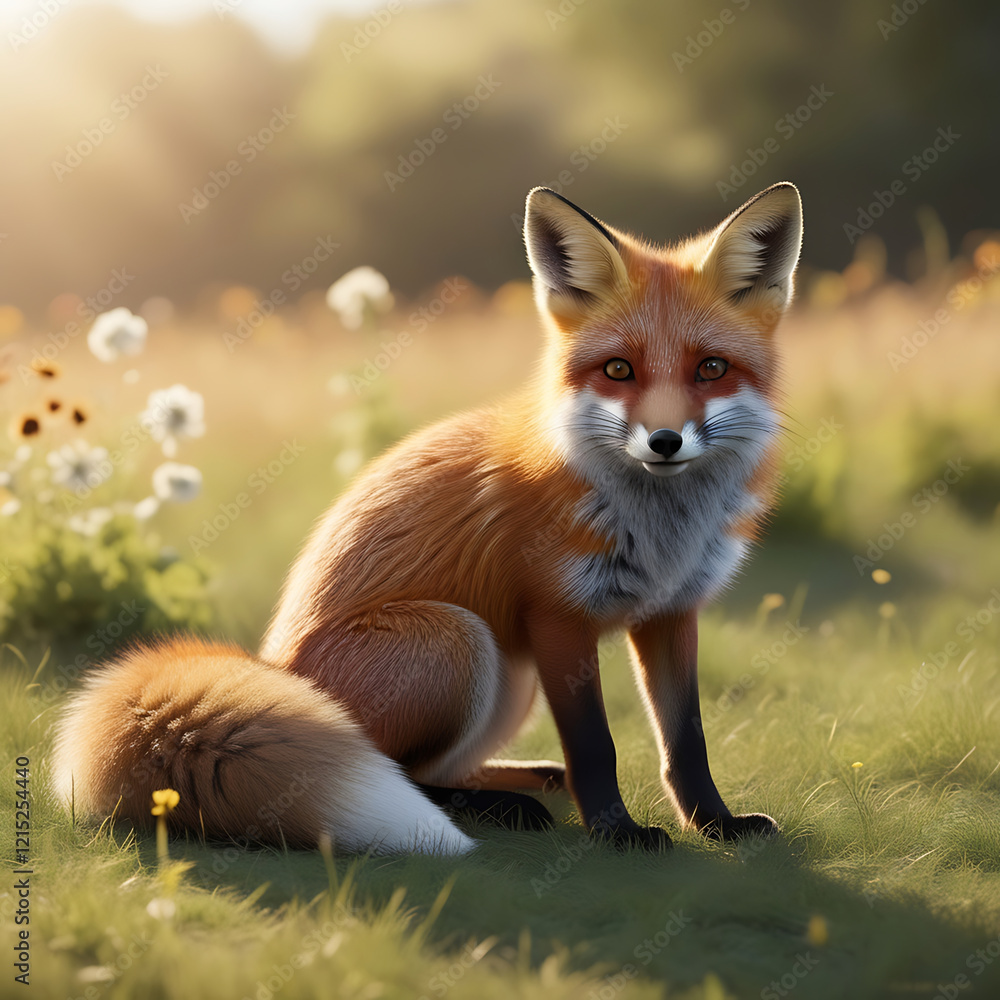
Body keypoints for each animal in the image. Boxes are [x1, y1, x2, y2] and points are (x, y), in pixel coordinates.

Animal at [53, 181, 803, 855]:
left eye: (711, 369)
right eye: (619, 369)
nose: (665, 441)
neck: (661, 532)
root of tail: (273, 670)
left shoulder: (670, 612)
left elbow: (687, 742)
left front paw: (716, 825)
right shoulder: (558, 616)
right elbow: (596, 746)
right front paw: (616, 834)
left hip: (511, 677)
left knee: (436, 768)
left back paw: (520, 782)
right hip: (460, 638)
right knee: (401, 772)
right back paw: (499, 807)